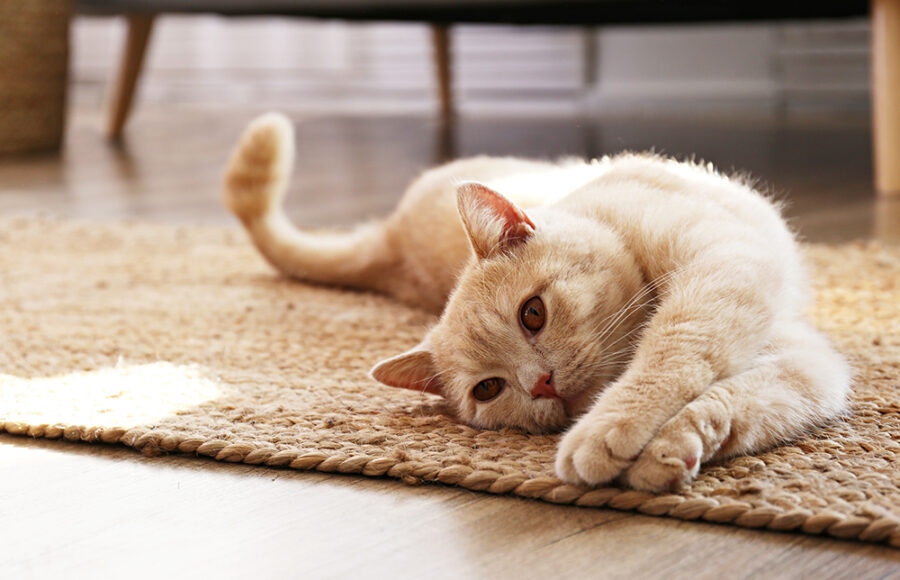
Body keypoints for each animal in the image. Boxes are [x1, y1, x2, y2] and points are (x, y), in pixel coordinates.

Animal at [221, 114, 848, 494]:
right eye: (489, 389)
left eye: (533, 314)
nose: (541, 383)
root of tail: (392, 238)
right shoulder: (807, 365)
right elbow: (735, 400)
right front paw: (669, 449)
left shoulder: (727, 268)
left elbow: (674, 355)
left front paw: (614, 433)